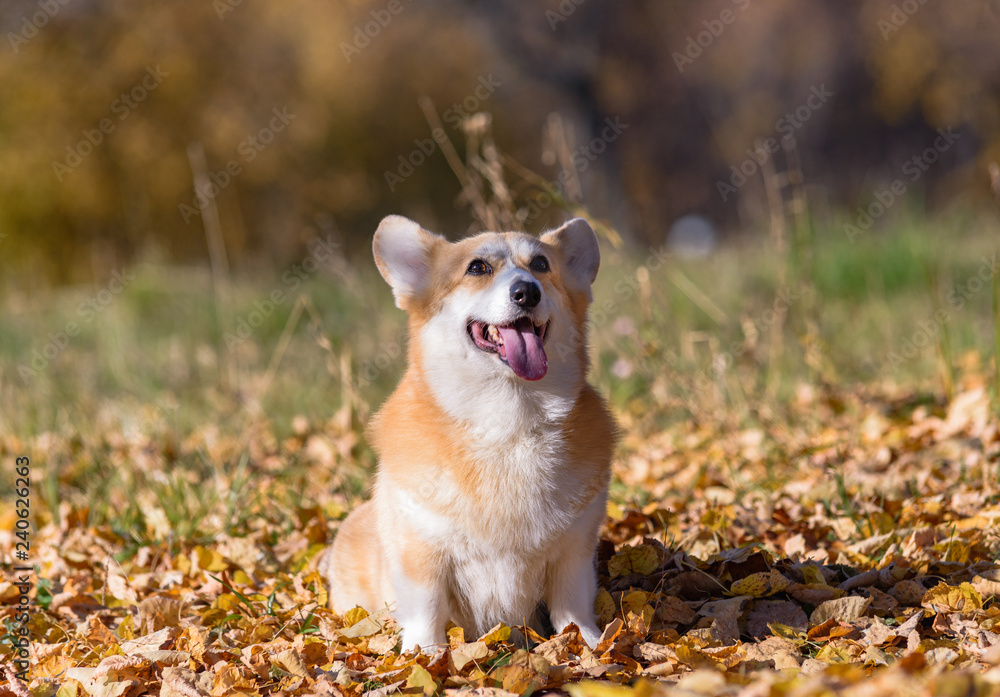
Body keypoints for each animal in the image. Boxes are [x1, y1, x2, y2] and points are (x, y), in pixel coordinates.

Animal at [320, 215, 616, 648]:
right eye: (477, 268)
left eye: (541, 264)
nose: (527, 291)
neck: (508, 421)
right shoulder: (423, 554)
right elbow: (426, 611)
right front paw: (424, 654)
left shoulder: (574, 551)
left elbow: (572, 606)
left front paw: (592, 645)